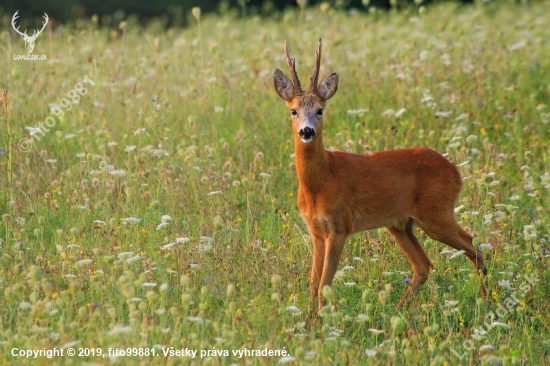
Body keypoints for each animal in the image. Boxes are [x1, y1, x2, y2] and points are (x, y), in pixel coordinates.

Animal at [274, 39, 488, 308]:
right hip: (400, 224)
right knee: (424, 265)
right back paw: (398, 310)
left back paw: (486, 301)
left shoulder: (340, 226)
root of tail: (455, 172)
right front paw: (309, 317)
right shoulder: (316, 230)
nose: (307, 131)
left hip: (436, 213)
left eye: (320, 110)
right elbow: (313, 285)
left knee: (473, 246)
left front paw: (323, 318)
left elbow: (324, 285)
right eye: (293, 110)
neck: (321, 181)